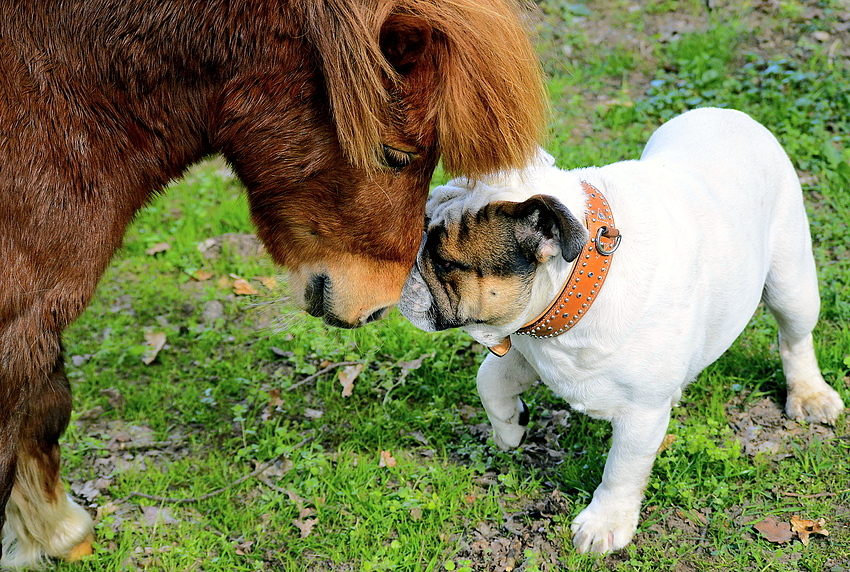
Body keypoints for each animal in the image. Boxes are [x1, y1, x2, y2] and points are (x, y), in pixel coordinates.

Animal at [0, 0, 544, 564]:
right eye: (396, 153)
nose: (377, 306)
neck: (67, 97)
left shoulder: (32, 318)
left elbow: (43, 410)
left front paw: (57, 533)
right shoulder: (21, 318)